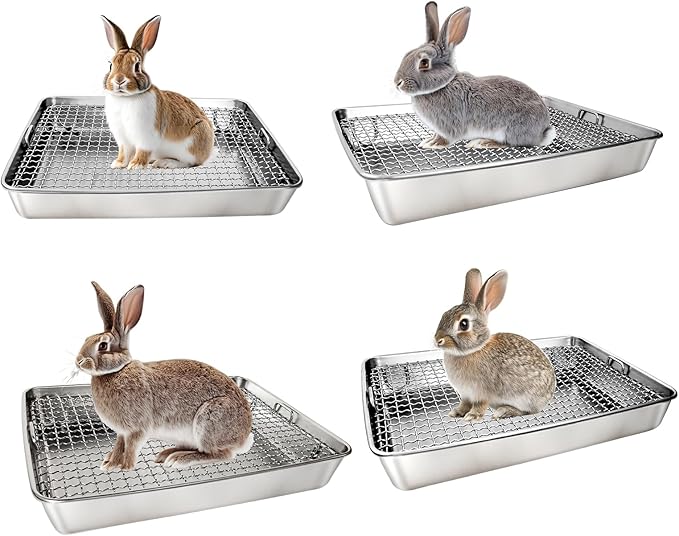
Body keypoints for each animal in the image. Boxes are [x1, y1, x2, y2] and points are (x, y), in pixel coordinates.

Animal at [76, 282, 253, 470]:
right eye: (87, 338)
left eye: (102, 346)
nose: (78, 361)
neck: (117, 371)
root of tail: (243, 436)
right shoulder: (122, 432)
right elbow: (119, 445)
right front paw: (110, 463)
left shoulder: (137, 429)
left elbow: (131, 447)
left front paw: (126, 467)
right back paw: (167, 453)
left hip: (210, 420)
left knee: (220, 454)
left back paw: (179, 459)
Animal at [101, 16, 216, 170]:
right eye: (110, 64)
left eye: (137, 66)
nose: (119, 80)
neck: (126, 98)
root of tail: (208, 152)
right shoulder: (123, 139)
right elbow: (124, 151)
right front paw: (118, 163)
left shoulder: (145, 137)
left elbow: (142, 150)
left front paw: (136, 165)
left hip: (192, 142)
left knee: (189, 162)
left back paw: (164, 162)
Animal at [395, 3, 556, 150]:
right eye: (407, 54)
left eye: (424, 63)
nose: (397, 82)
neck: (444, 85)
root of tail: (542, 133)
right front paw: (429, 140)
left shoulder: (450, 125)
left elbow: (447, 138)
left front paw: (433, 144)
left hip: (512, 129)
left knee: (509, 143)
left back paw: (483, 142)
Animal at [434, 269, 556, 421]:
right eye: (444, 314)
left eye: (464, 324)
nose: (437, 340)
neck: (474, 350)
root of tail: (550, 393)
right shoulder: (466, 394)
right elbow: (464, 404)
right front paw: (456, 412)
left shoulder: (482, 393)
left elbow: (480, 405)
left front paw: (472, 416)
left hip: (526, 398)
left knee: (527, 412)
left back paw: (503, 411)